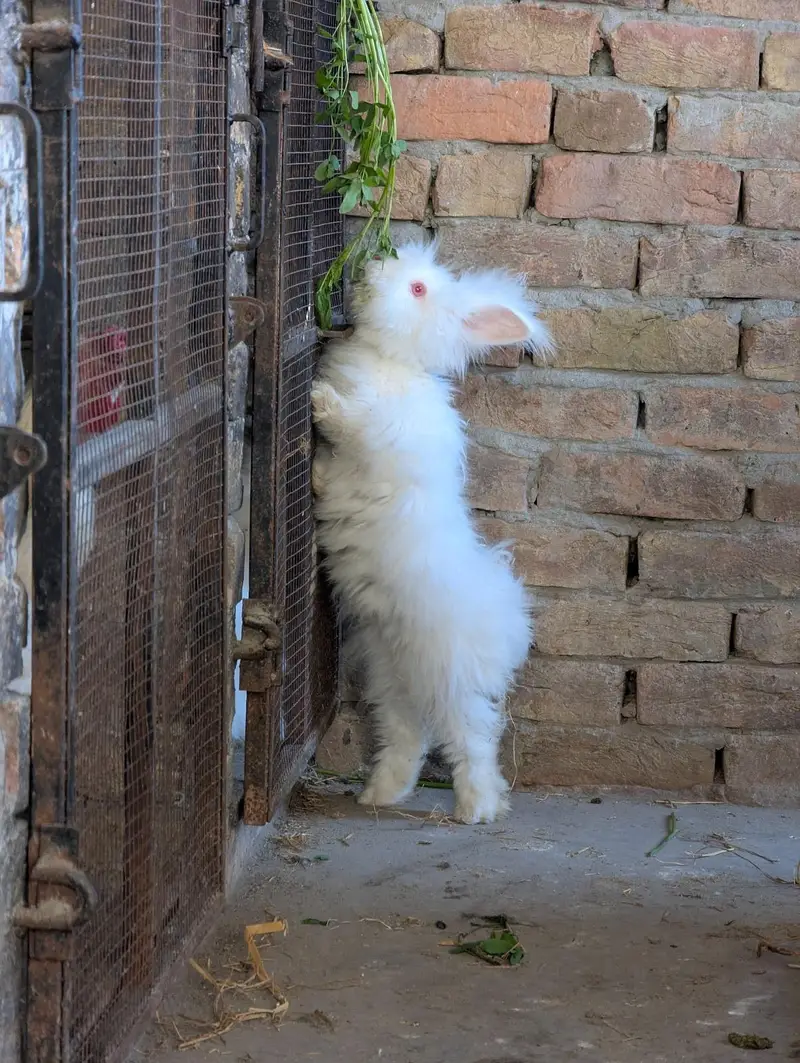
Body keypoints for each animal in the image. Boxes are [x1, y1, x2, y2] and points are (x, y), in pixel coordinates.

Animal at [311, 240, 552, 824]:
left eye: (418, 288)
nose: (371, 267)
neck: (393, 363)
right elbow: (334, 470)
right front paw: (316, 476)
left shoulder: (380, 434)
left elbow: (350, 425)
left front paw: (318, 398)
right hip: (389, 678)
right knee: (407, 738)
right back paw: (379, 794)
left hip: (449, 681)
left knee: (473, 741)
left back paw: (477, 808)